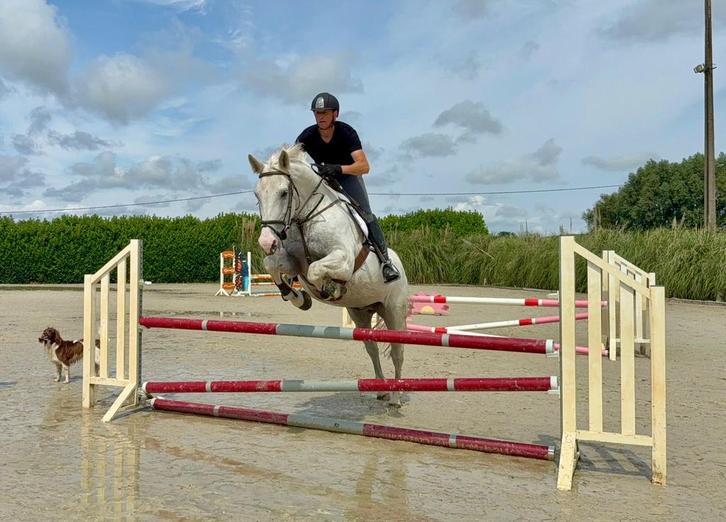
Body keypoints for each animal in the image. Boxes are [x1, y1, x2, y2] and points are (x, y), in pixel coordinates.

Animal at [248, 144, 409, 406]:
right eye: (257, 195)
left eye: (284, 193)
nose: (266, 241)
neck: (306, 218)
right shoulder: (293, 262)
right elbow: (271, 264)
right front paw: (298, 298)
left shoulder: (343, 260)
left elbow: (316, 270)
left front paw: (330, 289)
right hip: (360, 313)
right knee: (372, 348)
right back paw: (381, 389)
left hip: (394, 310)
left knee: (398, 352)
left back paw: (395, 396)